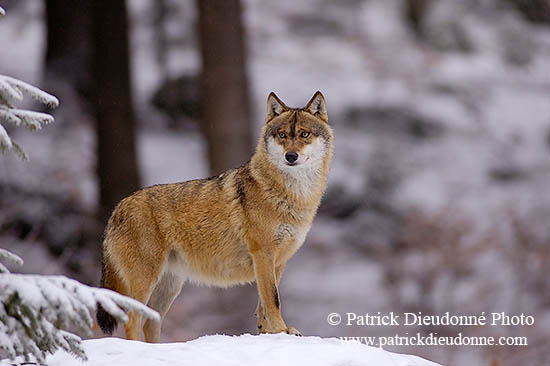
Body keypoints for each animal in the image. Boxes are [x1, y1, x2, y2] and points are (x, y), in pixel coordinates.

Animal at [97, 90, 334, 342]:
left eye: (304, 134)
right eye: (282, 135)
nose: (291, 156)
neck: (292, 196)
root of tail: (117, 208)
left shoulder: (277, 262)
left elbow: (264, 304)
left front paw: (268, 335)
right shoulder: (263, 254)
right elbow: (273, 301)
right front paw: (282, 332)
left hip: (170, 286)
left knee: (150, 322)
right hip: (146, 280)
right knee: (132, 320)